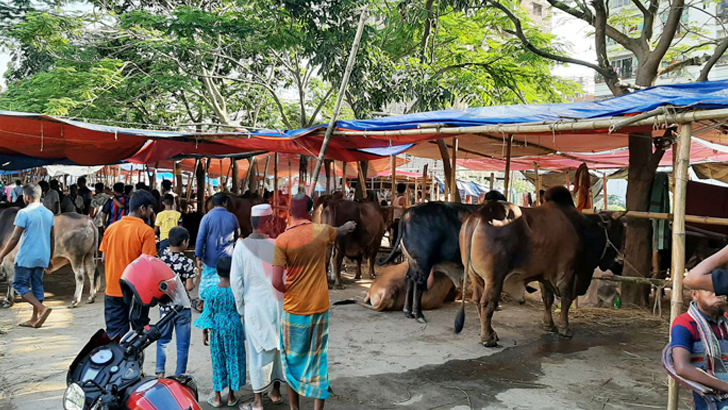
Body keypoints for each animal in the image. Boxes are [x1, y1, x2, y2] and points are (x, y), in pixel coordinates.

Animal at [458, 187, 624, 348]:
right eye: (618, 232)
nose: (621, 262)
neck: (580, 227)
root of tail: (479, 216)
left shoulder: (544, 275)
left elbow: (547, 299)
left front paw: (549, 325)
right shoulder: (567, 273)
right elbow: (566, 299)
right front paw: (565, 329)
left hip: (475, 276)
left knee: (477, 300)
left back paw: (492, 333)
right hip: (494, 278)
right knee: (487, 303)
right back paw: (488, 338)